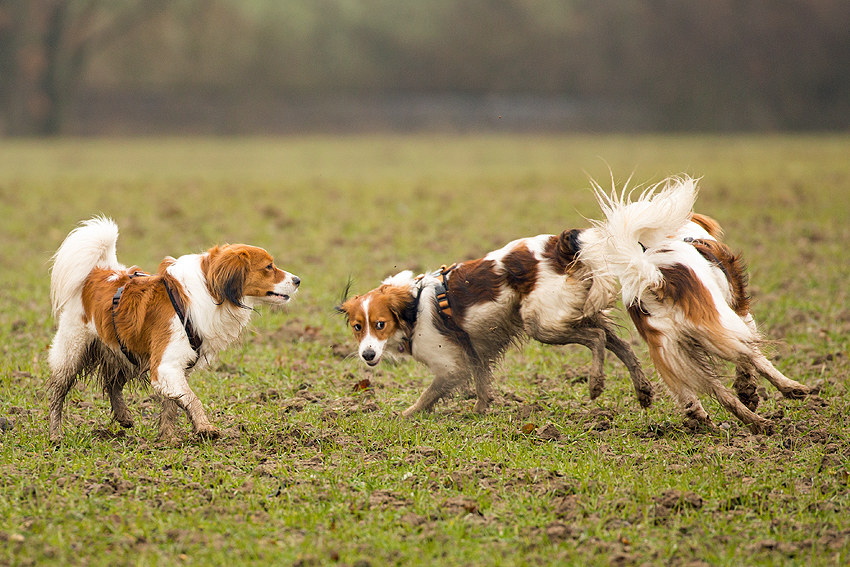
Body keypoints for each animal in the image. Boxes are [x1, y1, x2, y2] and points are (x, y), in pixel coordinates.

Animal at [49, 217, 300, 444]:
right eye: (269, 267)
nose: (298, 279)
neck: (208, 292)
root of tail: (98, 273)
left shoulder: (175, 367)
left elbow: (173, 405)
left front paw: (168, 438)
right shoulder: (165, 366)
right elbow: (192, 399)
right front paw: (206, 428)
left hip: (125, 351)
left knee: (112, 384)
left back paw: (123, 416)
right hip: (71, 352)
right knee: (57, 394)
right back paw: (55, 435)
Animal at [336, 230, 648, 418]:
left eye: (380, 324)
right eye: (357, 327)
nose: (367, 354)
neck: (413, 308)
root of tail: (557, 245)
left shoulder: (451, 367)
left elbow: (428, 394)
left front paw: (406, 415)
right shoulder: (474, 353)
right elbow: (482, 385)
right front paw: (479, 411)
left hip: (542, 323)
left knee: (596, 338)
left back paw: (596, 382)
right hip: (572, 312)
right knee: (621, 345)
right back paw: (644, 391)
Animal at [576, 178, 808, 434]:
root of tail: (656, 280)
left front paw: (748, 393)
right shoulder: (740, 313)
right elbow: (755, 360)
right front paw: (751, 388)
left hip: (670, 354)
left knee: (710, 394)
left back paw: (741, 422)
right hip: (721, 323)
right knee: (750, 353)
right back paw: (786, 394)